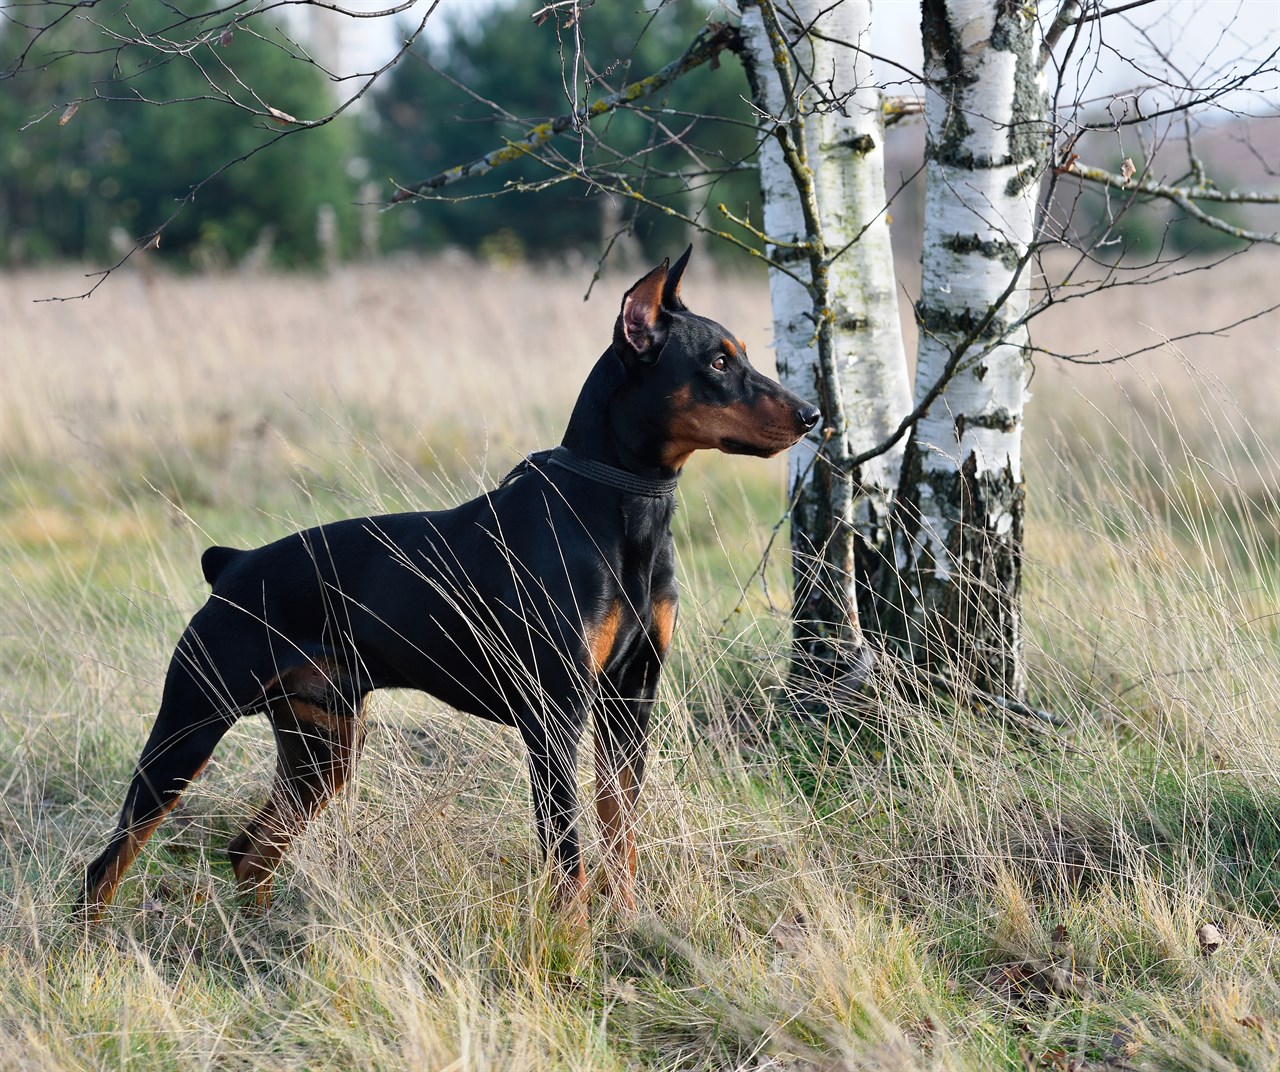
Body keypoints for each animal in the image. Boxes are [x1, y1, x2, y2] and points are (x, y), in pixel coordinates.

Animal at [80, 252, 819, 921]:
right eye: (717, 362)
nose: (811, 415)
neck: (623, 509)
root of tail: (231, 564)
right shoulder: (555, 716)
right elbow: (570, 856)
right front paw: (574, 946)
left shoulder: (629, 703)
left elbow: (620, 836)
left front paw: (633, 925)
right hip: (190, 726)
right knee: (108, 861)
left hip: (323, 745)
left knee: (250, 850)